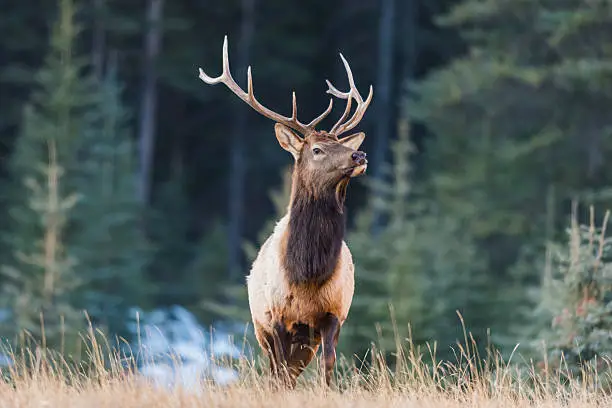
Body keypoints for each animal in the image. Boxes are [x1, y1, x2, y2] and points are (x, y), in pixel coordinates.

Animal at [201, 36, 372, 388]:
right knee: (277, 372)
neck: (308, 273)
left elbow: (328, 367)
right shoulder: (276, 317)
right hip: (260, 327)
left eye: (342, 144)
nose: (360, 155)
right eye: (317, 149)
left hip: (306, 340)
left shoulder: (333, 314)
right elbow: (278, 371)